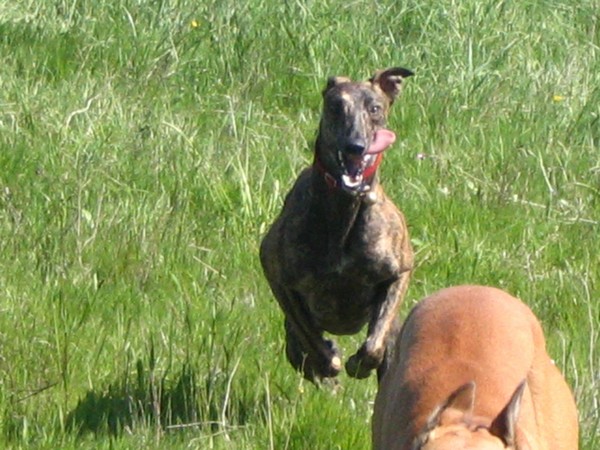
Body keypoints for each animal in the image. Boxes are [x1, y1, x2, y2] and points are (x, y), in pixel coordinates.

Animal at [259, 68, 414, 382]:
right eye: (335, 107)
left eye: (375, 109)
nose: (355, 146)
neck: (344, 208)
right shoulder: (275, 271)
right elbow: (308, 335)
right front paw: (328, 361)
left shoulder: (400, 271)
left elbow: (375, 343)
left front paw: (360, 363)